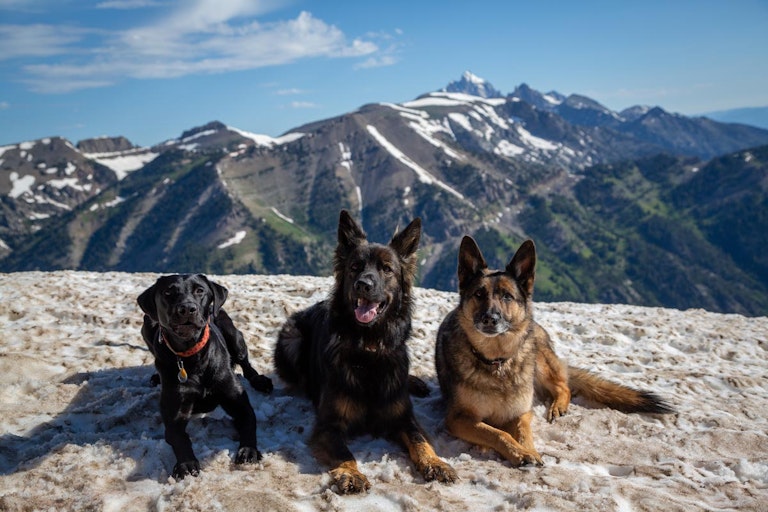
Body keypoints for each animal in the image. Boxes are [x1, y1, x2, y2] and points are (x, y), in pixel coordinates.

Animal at [138, 274, 272, 478]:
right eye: (168, 292)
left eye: (199, 290)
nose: (187, 308)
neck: (192, 357)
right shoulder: (175, 413)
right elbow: (178, 436)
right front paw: (186, 463)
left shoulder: (238, 401)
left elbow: (249, 422)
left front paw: (248, 451)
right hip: (148, 324)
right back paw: (156, 377)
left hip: (232, 333)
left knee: (246, 363)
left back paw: (260, 380)